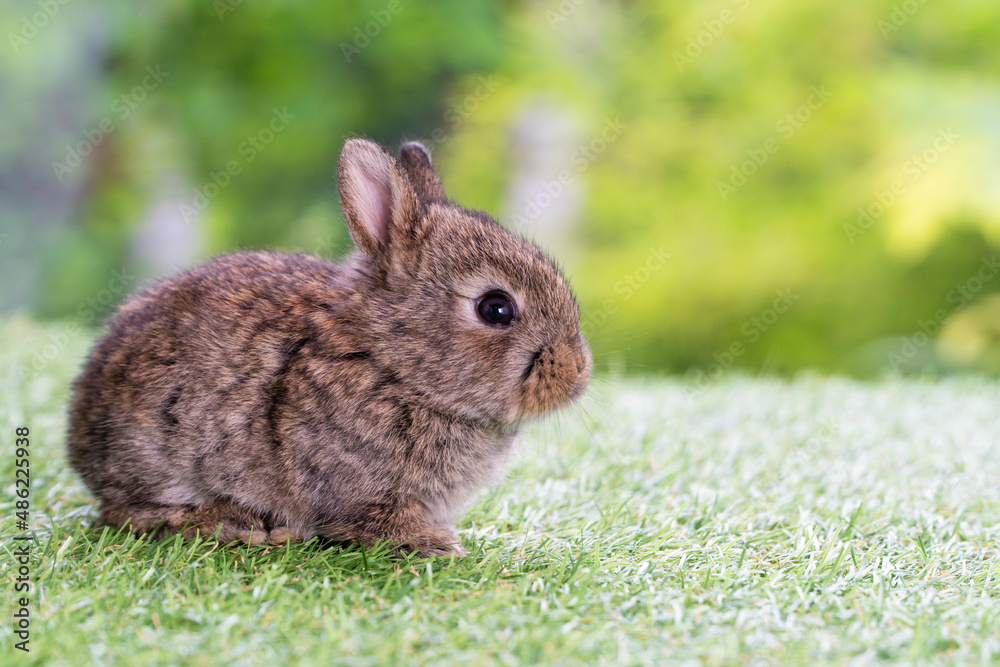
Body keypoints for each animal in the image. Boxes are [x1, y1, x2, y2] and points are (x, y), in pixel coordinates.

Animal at [67, 138, 591, 557]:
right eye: (495, 308)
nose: (577, 373)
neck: (391, 361)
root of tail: (79, 433)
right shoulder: (359, 490)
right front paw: (436, 545)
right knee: (132, 516)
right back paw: (238, 524)